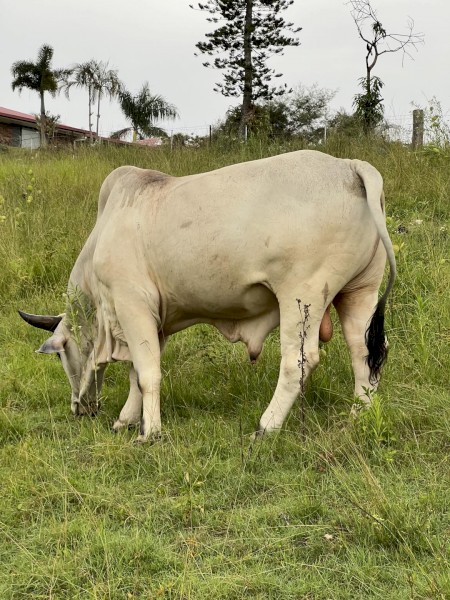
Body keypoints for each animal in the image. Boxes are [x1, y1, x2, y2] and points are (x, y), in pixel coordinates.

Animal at [19, 150, 396, 440]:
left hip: (301, 296)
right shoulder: (155, 320)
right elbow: (137, 374)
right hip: (359, 293)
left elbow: (147, 373)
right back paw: (357, 417)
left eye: (60, 355)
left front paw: (149, 432)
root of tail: (349, 166)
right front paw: (126, 420)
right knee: (364, 353)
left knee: (299, 362)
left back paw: (265, 427)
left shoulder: (132, 305)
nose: (78, 408)